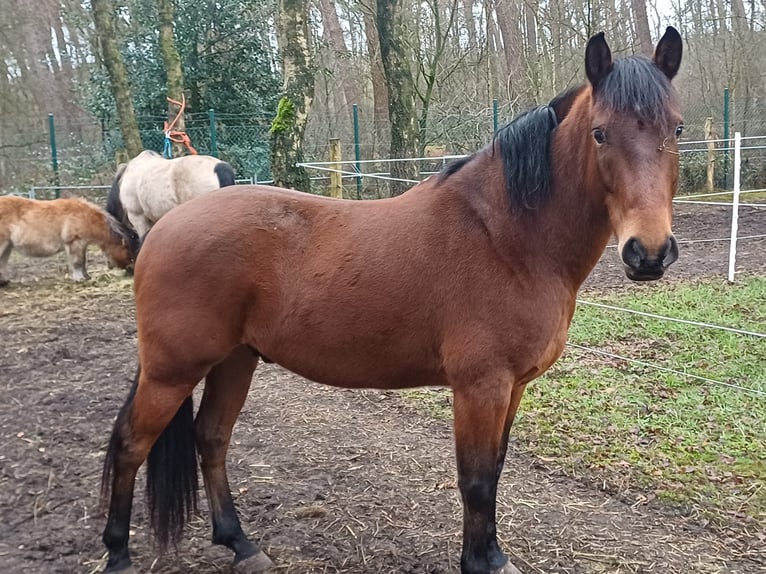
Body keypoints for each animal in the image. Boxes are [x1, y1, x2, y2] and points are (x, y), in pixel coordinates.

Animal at [0, 195, 139, 286]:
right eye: (129, 252)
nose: (132, 271)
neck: (85, 216)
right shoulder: (74, 242)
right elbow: (77, 262)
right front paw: (79, 279)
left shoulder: (82, 244)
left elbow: (83, 261)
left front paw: (86, 276)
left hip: (8, 245)